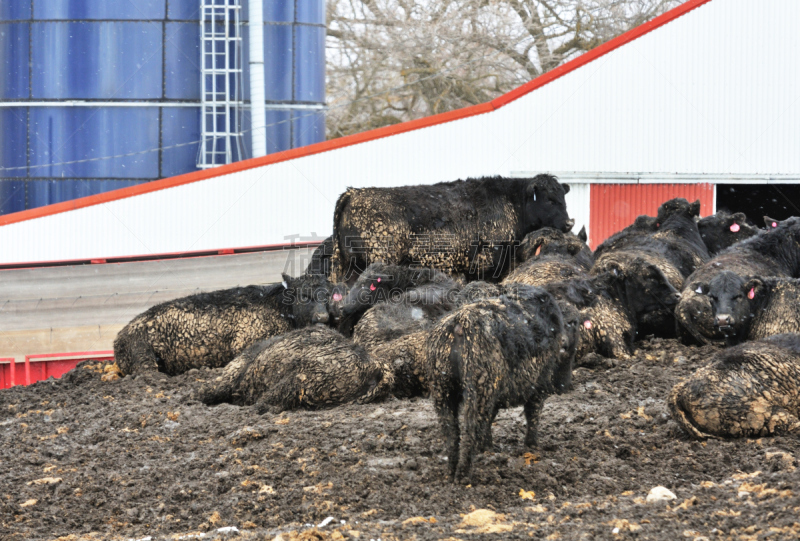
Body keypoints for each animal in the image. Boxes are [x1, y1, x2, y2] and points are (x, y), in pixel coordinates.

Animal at [114, 274, 332, 376]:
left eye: (327, 295)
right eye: (304, 295)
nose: (323, 317)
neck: (279, 307)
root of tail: (120, 335)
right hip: (143, 358)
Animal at [328, 174, 572, 284]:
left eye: (563, 197)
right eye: (549, 200)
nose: (569, 223)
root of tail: (354, 192)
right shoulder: (486, 265)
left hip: (347, 266)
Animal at [424, 286, 576, 480]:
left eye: (575, 323)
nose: (565, 344)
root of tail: (459, 323)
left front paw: (489, 448)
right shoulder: (538, 385)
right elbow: (532, 414)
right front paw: (532, 447)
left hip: (441, 387)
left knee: (450, 429)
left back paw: (451, 473)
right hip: (479, 386)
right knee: (470, 427)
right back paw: (463, 475)